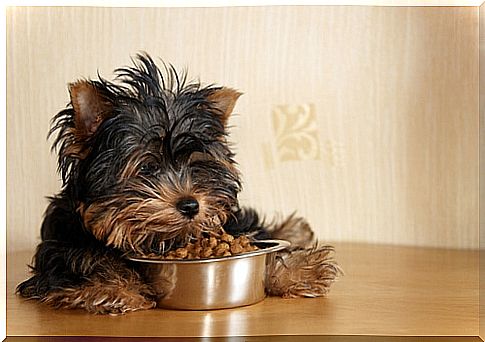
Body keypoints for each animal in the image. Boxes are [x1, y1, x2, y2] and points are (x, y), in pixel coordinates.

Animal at [16, 54, 340, 316]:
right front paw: (113, 289)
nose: (190, 204)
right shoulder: (61, 252)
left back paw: (296, 230)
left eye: (195, 165)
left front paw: (300, 271)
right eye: (147, 167)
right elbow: (87, 264)